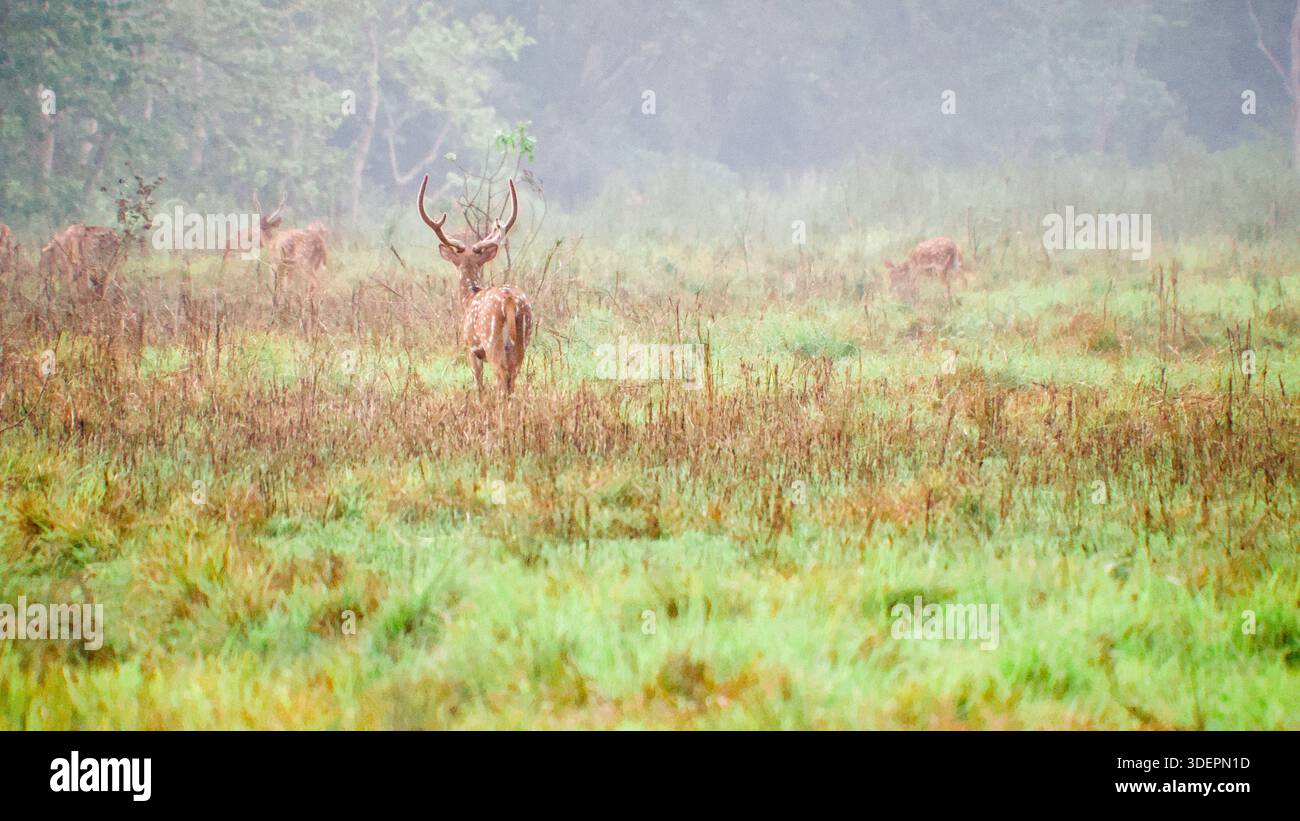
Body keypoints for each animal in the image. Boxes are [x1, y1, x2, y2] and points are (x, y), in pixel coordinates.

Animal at [418, 174, 533, 396]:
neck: (469, 298)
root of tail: (509, 300)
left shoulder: (471, 348)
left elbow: (478, 384)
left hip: (491, 340)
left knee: (501, 379)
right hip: (523, 340)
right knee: (512, 379)